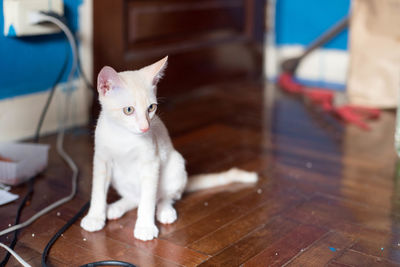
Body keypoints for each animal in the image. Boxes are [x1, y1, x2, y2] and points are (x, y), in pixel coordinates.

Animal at [79, 57, 258, 243]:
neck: (123, 137)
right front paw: (94, 217)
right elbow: (98, 191)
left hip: (176, 165)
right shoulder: (101, 159)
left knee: (164, 196)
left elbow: (148, 199)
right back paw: (116, 207)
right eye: (128, 110)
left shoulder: (151, 162)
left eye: (151, 108)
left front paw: (145, 227)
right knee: (135, 197)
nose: (145, 128)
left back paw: (165, 211)